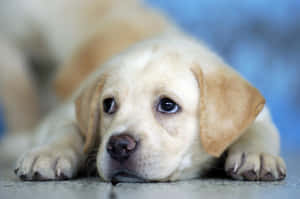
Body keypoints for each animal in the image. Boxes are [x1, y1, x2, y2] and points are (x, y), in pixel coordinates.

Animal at [13, 33, 286, 183]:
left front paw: (258, 155)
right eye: (108, 105)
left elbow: (259, 129)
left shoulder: (261, 116)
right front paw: (49, 153)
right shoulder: (66, 114)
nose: (118, 146)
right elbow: (66, 129)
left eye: (167, 105)